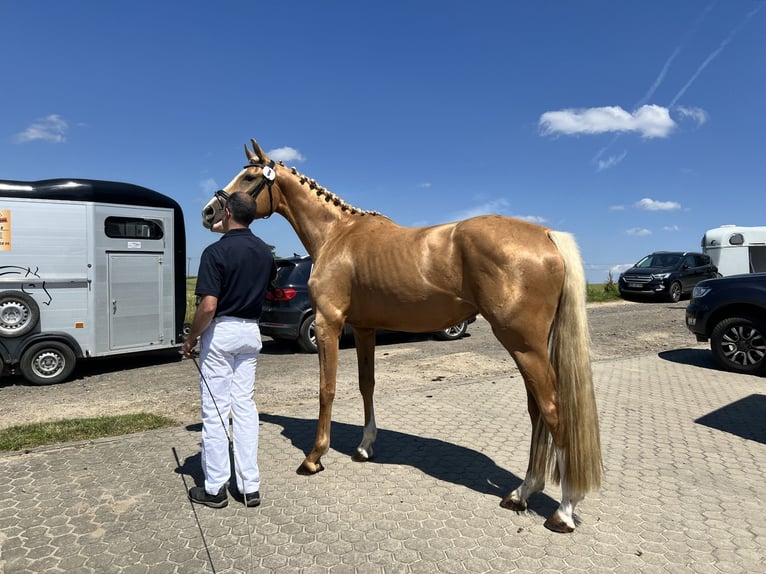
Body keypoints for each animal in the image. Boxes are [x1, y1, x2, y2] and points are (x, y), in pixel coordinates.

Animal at [204, 141, 608, 536]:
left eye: (250, 177)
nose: (209, 212)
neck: (338, 235)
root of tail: (545, 235)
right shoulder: (364, 328)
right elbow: (366, 384)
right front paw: (365, 447)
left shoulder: (328, 324)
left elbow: (326, 389)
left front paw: (315, 457)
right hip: (528, 348)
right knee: (537, 411)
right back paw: (522, 493)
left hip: (524, 346)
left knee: (553, 411)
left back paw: (564, 510)